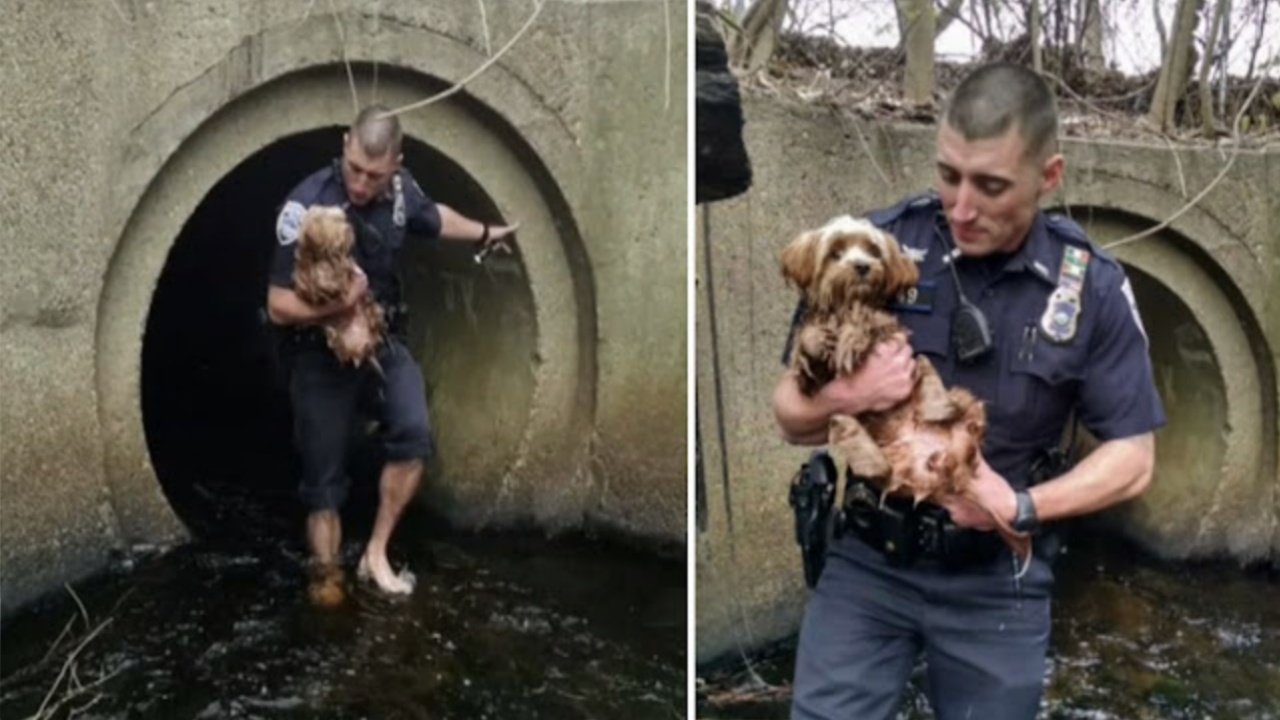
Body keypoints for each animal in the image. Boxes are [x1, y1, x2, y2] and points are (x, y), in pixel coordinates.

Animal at [293, 203, 386, 366]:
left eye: (339, 218)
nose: (349, 228)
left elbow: (337, 273)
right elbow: (307, 278)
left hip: (373, 312)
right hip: (340, 341)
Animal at [778, 215, 1029, 568]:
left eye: (872, 250)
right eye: (835, 252)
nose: (862, 266)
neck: (845, 303)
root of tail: (947, 464)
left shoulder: (889, 330)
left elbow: (867, 319)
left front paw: (851, 333)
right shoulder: (813, 379)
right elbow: (808, 352)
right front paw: (816, 340)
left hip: (960, 400)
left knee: (940, 385)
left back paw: (938, 407)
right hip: (889, 465)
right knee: (877, 464)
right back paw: (851, 431)